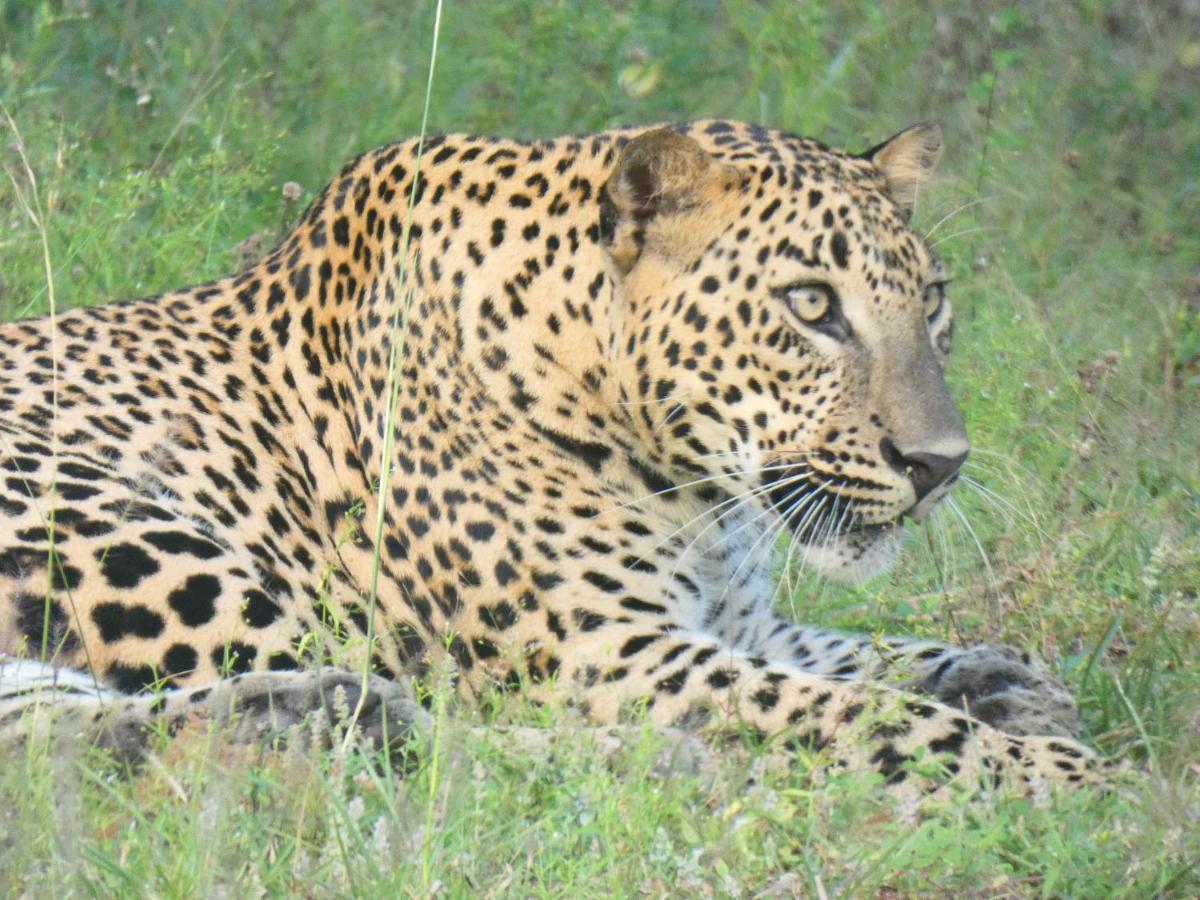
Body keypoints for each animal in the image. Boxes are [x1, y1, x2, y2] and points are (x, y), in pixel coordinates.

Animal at [0, 121, 1104, 796]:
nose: (939, 464)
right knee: (446, 744)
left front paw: (1008, 679)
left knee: (65, 738)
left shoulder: (730, 621)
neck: (705, 500)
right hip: (133, 533)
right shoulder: (603, 655)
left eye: (934, 300)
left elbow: (860, 654)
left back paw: (310, 712)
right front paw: (1072, 779)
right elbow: (854, 711)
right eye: (809, 305)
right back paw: (652, 763)